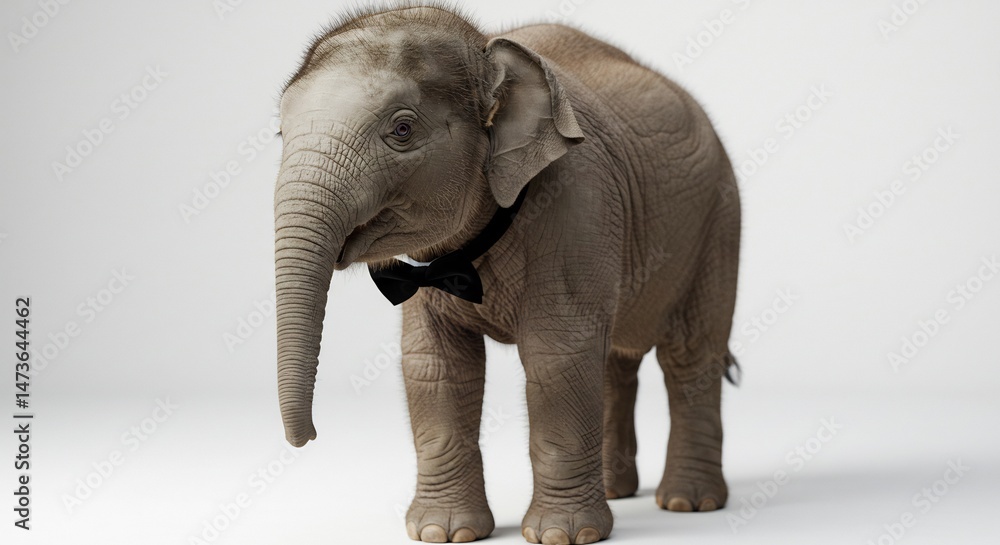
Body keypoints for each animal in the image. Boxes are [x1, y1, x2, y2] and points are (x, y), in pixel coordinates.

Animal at [273, 5, 740, 544]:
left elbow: (557, 357)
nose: (308, 438)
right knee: (614, 359)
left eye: (403, 130)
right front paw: (443, 533)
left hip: (718, 224)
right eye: (281, 134)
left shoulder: (578, 202)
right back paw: (619, 491)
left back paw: (689, 503)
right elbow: (434, 366)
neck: (486, 48)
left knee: (689, 354)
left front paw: (562, 535)